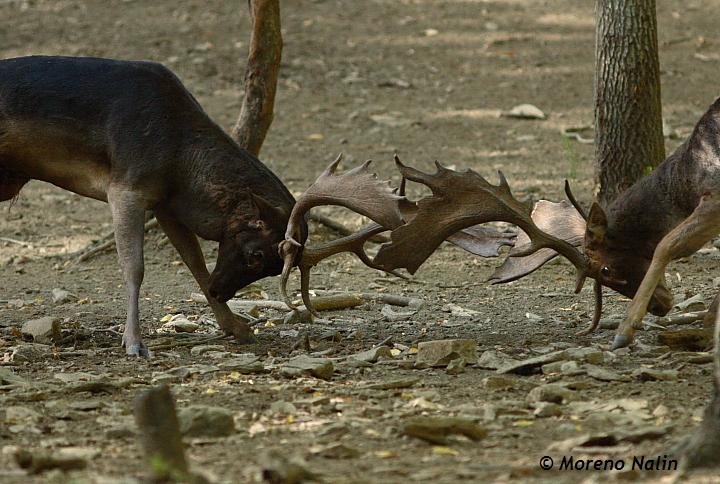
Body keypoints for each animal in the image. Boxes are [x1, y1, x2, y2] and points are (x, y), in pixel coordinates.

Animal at [0, 56, 304, 358]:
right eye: (256, 255)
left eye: (275, 268)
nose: (219, 291)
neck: (180, 166)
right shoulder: (125, 187)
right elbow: (134, 267)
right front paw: (134, 342)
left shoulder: (165, 206)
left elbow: (195, 262)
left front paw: (238, 328)